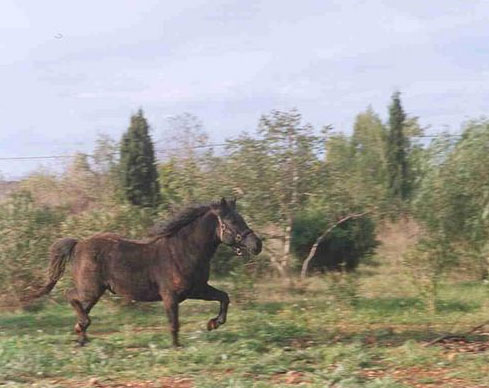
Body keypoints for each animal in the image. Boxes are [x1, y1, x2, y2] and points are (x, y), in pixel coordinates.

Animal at [28, 199, 262, 348]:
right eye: (232, 222)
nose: (257, 245)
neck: (183, 250)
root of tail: (78, 245)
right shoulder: (171, 296)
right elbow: (174, 322)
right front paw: (177, 347)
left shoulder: (197, 289)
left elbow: (224, 297)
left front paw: (213, 324)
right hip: (90, 289)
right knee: (70, 296)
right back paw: (82, 328)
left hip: (95, 292)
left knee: (80, 306)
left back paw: (81, 337)